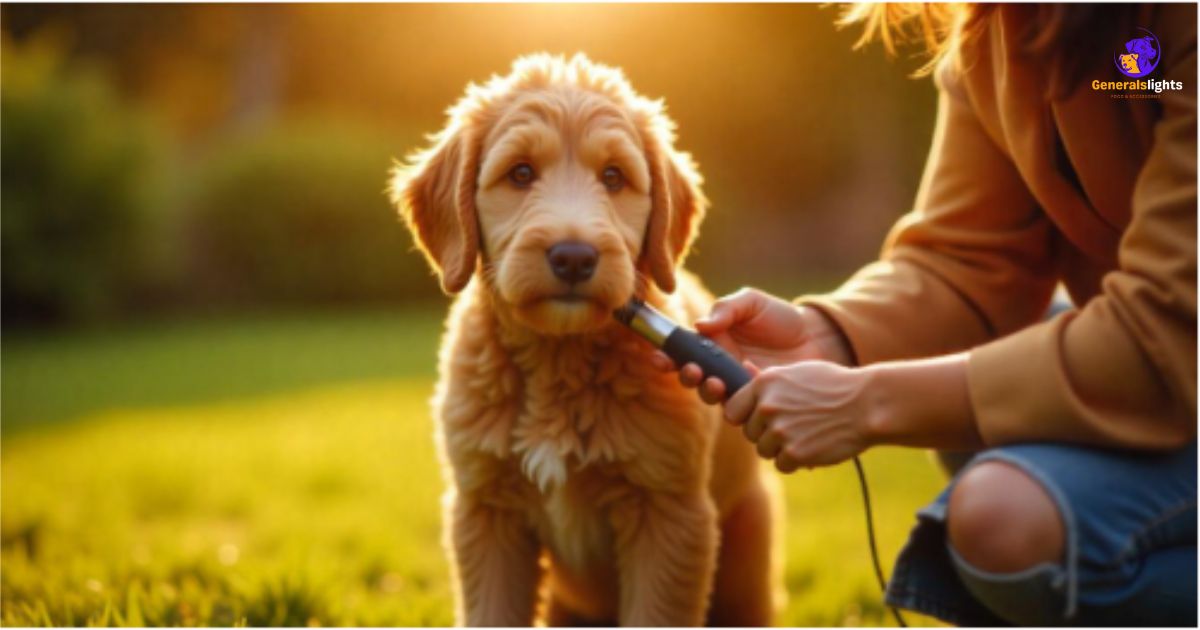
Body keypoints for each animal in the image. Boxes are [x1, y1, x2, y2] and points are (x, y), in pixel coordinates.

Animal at [391, 54, 787, 624]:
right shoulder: (486, 510)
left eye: (613, 177)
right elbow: (492, 610)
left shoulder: (668, 512)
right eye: (521, 173)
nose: (574, 257)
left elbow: (655, 613)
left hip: (749, 548)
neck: (560, 356)